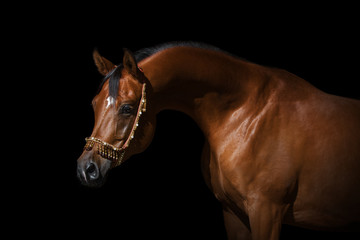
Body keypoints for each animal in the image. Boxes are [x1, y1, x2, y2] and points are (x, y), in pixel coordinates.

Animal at [76, 42, 360, 239]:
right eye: (93, 104)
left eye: (127, 108)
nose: (86, 169)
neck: (247, 114)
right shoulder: (233, 213)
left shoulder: (267, 212)